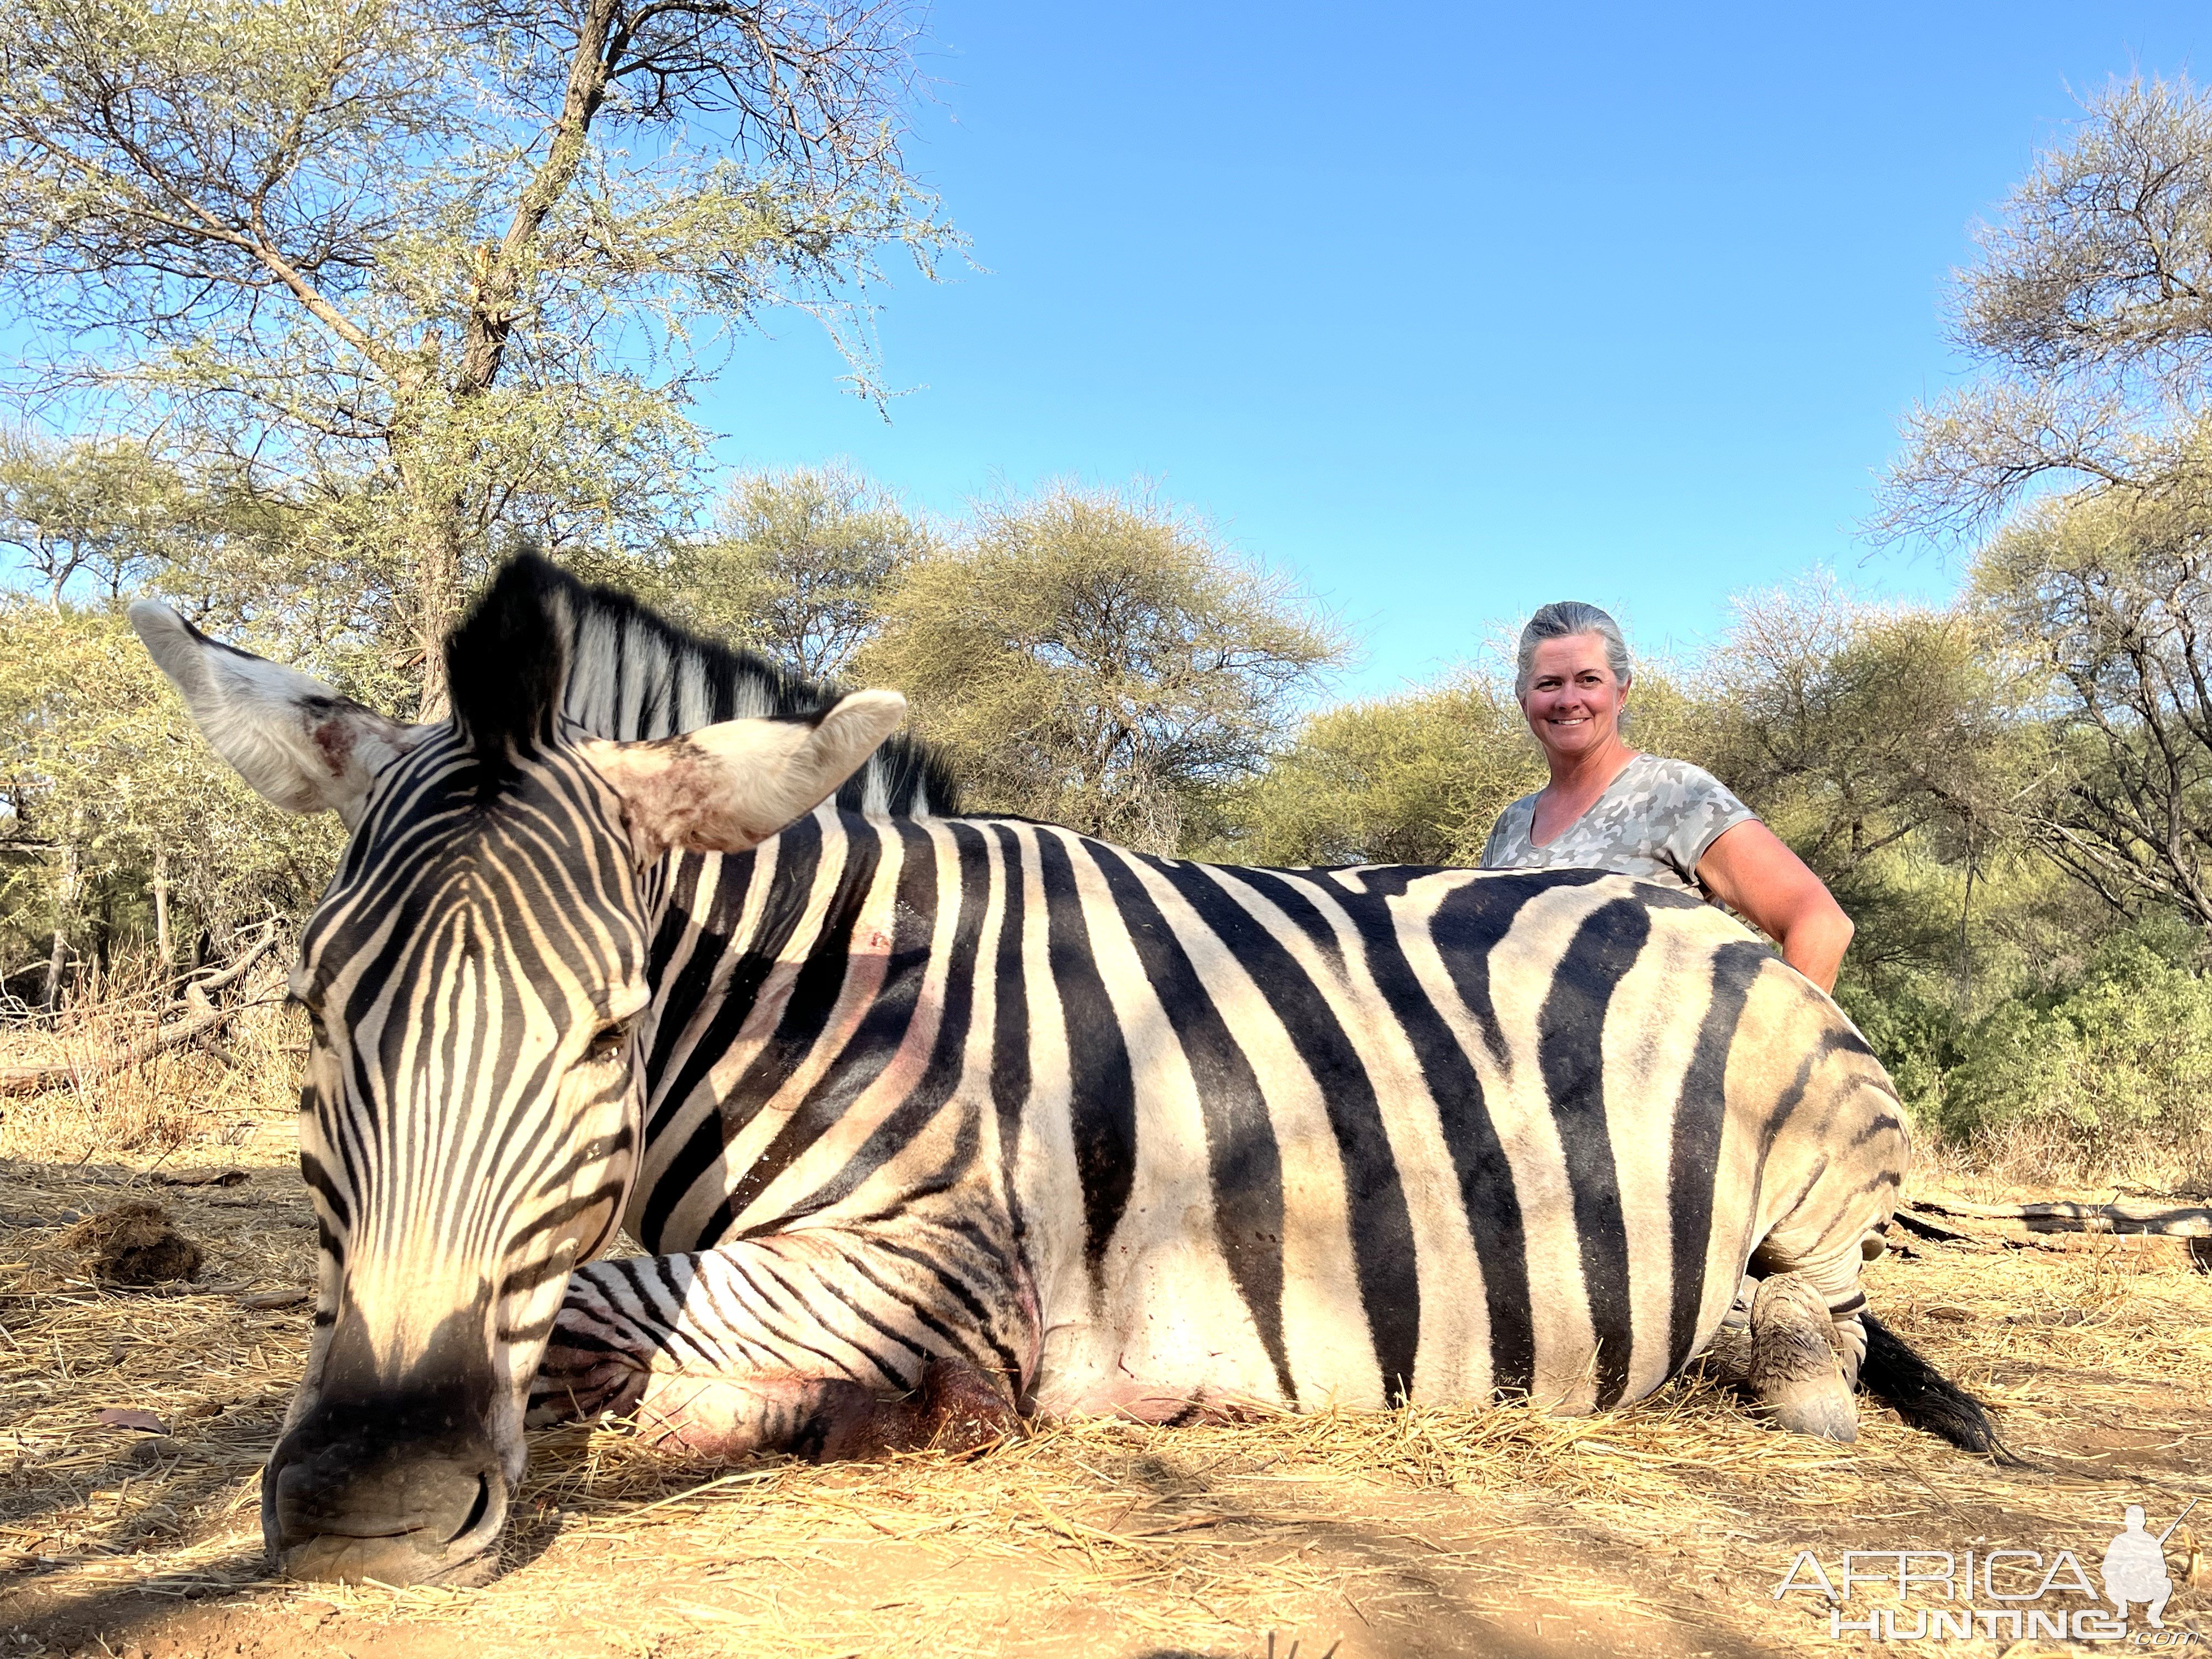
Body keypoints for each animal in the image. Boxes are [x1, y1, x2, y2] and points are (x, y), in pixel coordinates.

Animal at [129, 555, 1999, 1583]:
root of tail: (1683, 910)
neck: (813, 996)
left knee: (1808, 1329)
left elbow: (626, 1313)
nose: (369, 1506)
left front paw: (857, 1414)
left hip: (1824, 1151)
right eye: (315, 1010)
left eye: (612, 1022)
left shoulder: (948, 1263)